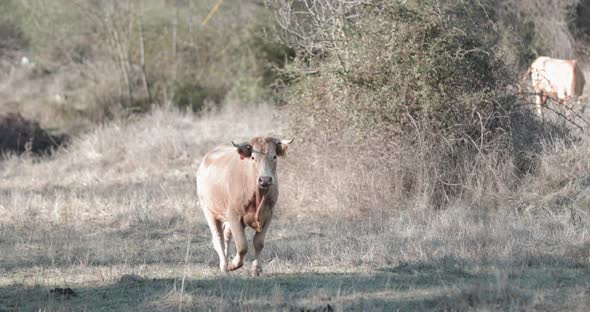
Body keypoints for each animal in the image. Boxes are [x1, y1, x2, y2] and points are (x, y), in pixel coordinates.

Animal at [197, 136, 294, 276]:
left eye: (274, 156)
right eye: (253, 157)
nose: (265, 179)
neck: (258, 196)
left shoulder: (268, 216)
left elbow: (258, 243)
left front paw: (256, 269)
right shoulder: (234, 216)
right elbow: (242, 246)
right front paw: (233, 264)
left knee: (226, 236)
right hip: (209, 211)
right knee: (218, 239)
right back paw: (224, 265)